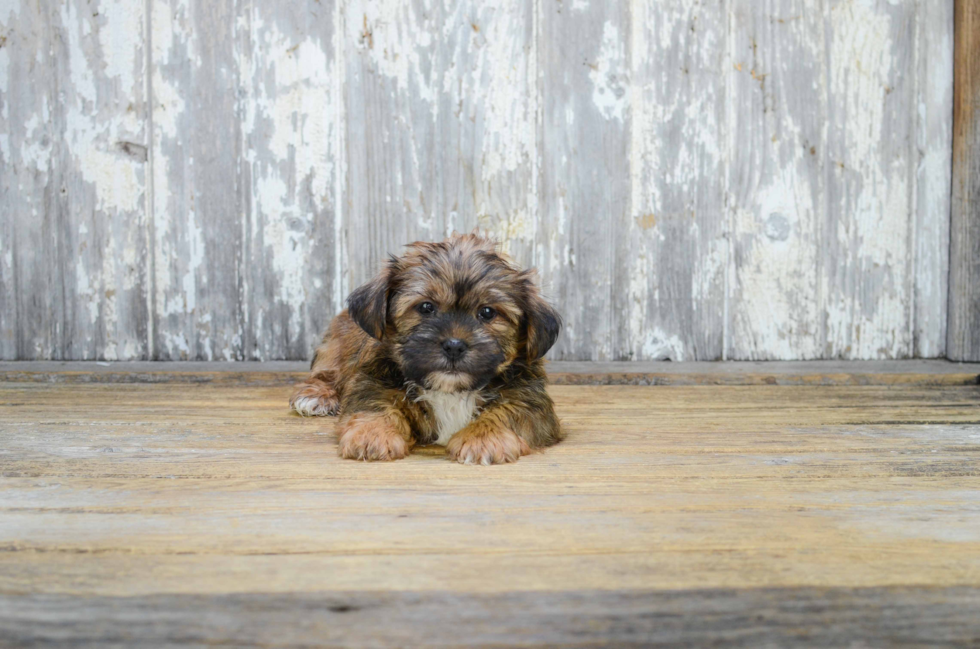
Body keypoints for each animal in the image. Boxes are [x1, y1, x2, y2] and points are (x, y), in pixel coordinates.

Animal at [288, 233, 564, 466]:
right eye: (426, 307)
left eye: (487, 312)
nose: (454, 346)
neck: (449, 391)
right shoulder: (372, 380)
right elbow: (375, 404)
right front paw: (372, 433)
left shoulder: (529, 398)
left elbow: (509, 411)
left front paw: (483, 437)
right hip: (337, 345)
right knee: (327, 373)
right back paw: (316, 396)